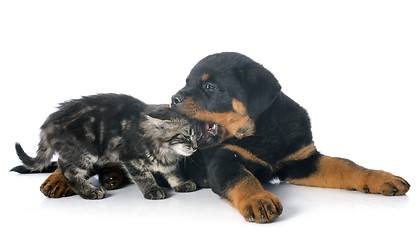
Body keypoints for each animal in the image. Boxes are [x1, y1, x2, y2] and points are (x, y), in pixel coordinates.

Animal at [34, 52, 408, 223]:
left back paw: (112, 177)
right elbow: (243, 179)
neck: (260, 133)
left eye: (210, 86)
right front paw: (260, 199)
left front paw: (382, 178)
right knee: (69, 161)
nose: (173, 97)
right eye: (186, 83)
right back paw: (59, 180)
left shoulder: (303, 160)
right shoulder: (223, 161)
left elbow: (348, 165)